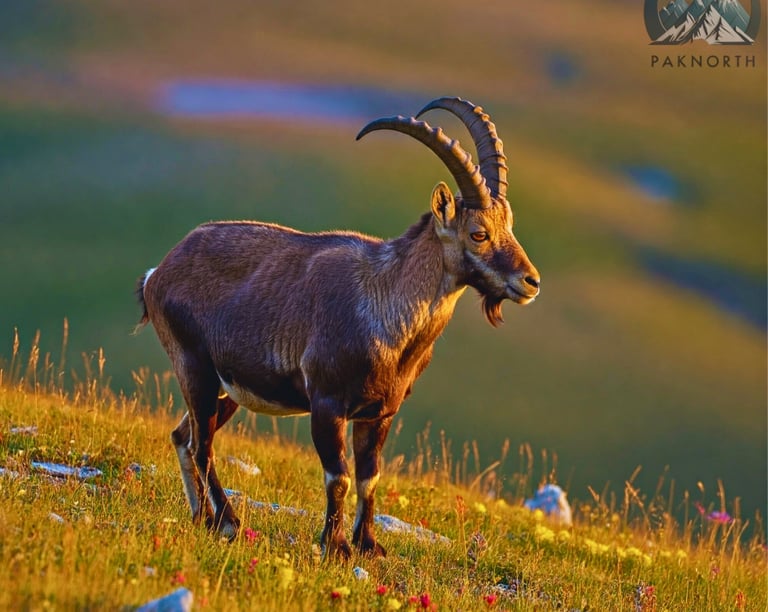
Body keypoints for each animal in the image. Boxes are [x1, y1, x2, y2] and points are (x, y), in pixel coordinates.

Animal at [135, 97, 540, 559]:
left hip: (227, 390)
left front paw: (369, 544)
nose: (531, 281)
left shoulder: (380, 413)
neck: (386, 310)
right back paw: (228, 522)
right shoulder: (327, 403)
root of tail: (158, 273)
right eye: (478, 233)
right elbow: (339, 476)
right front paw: (336, 545)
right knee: (202, 446)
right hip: (194, 366)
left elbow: (369, 477)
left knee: (183, 437)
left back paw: (202, 518)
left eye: (509, 226)